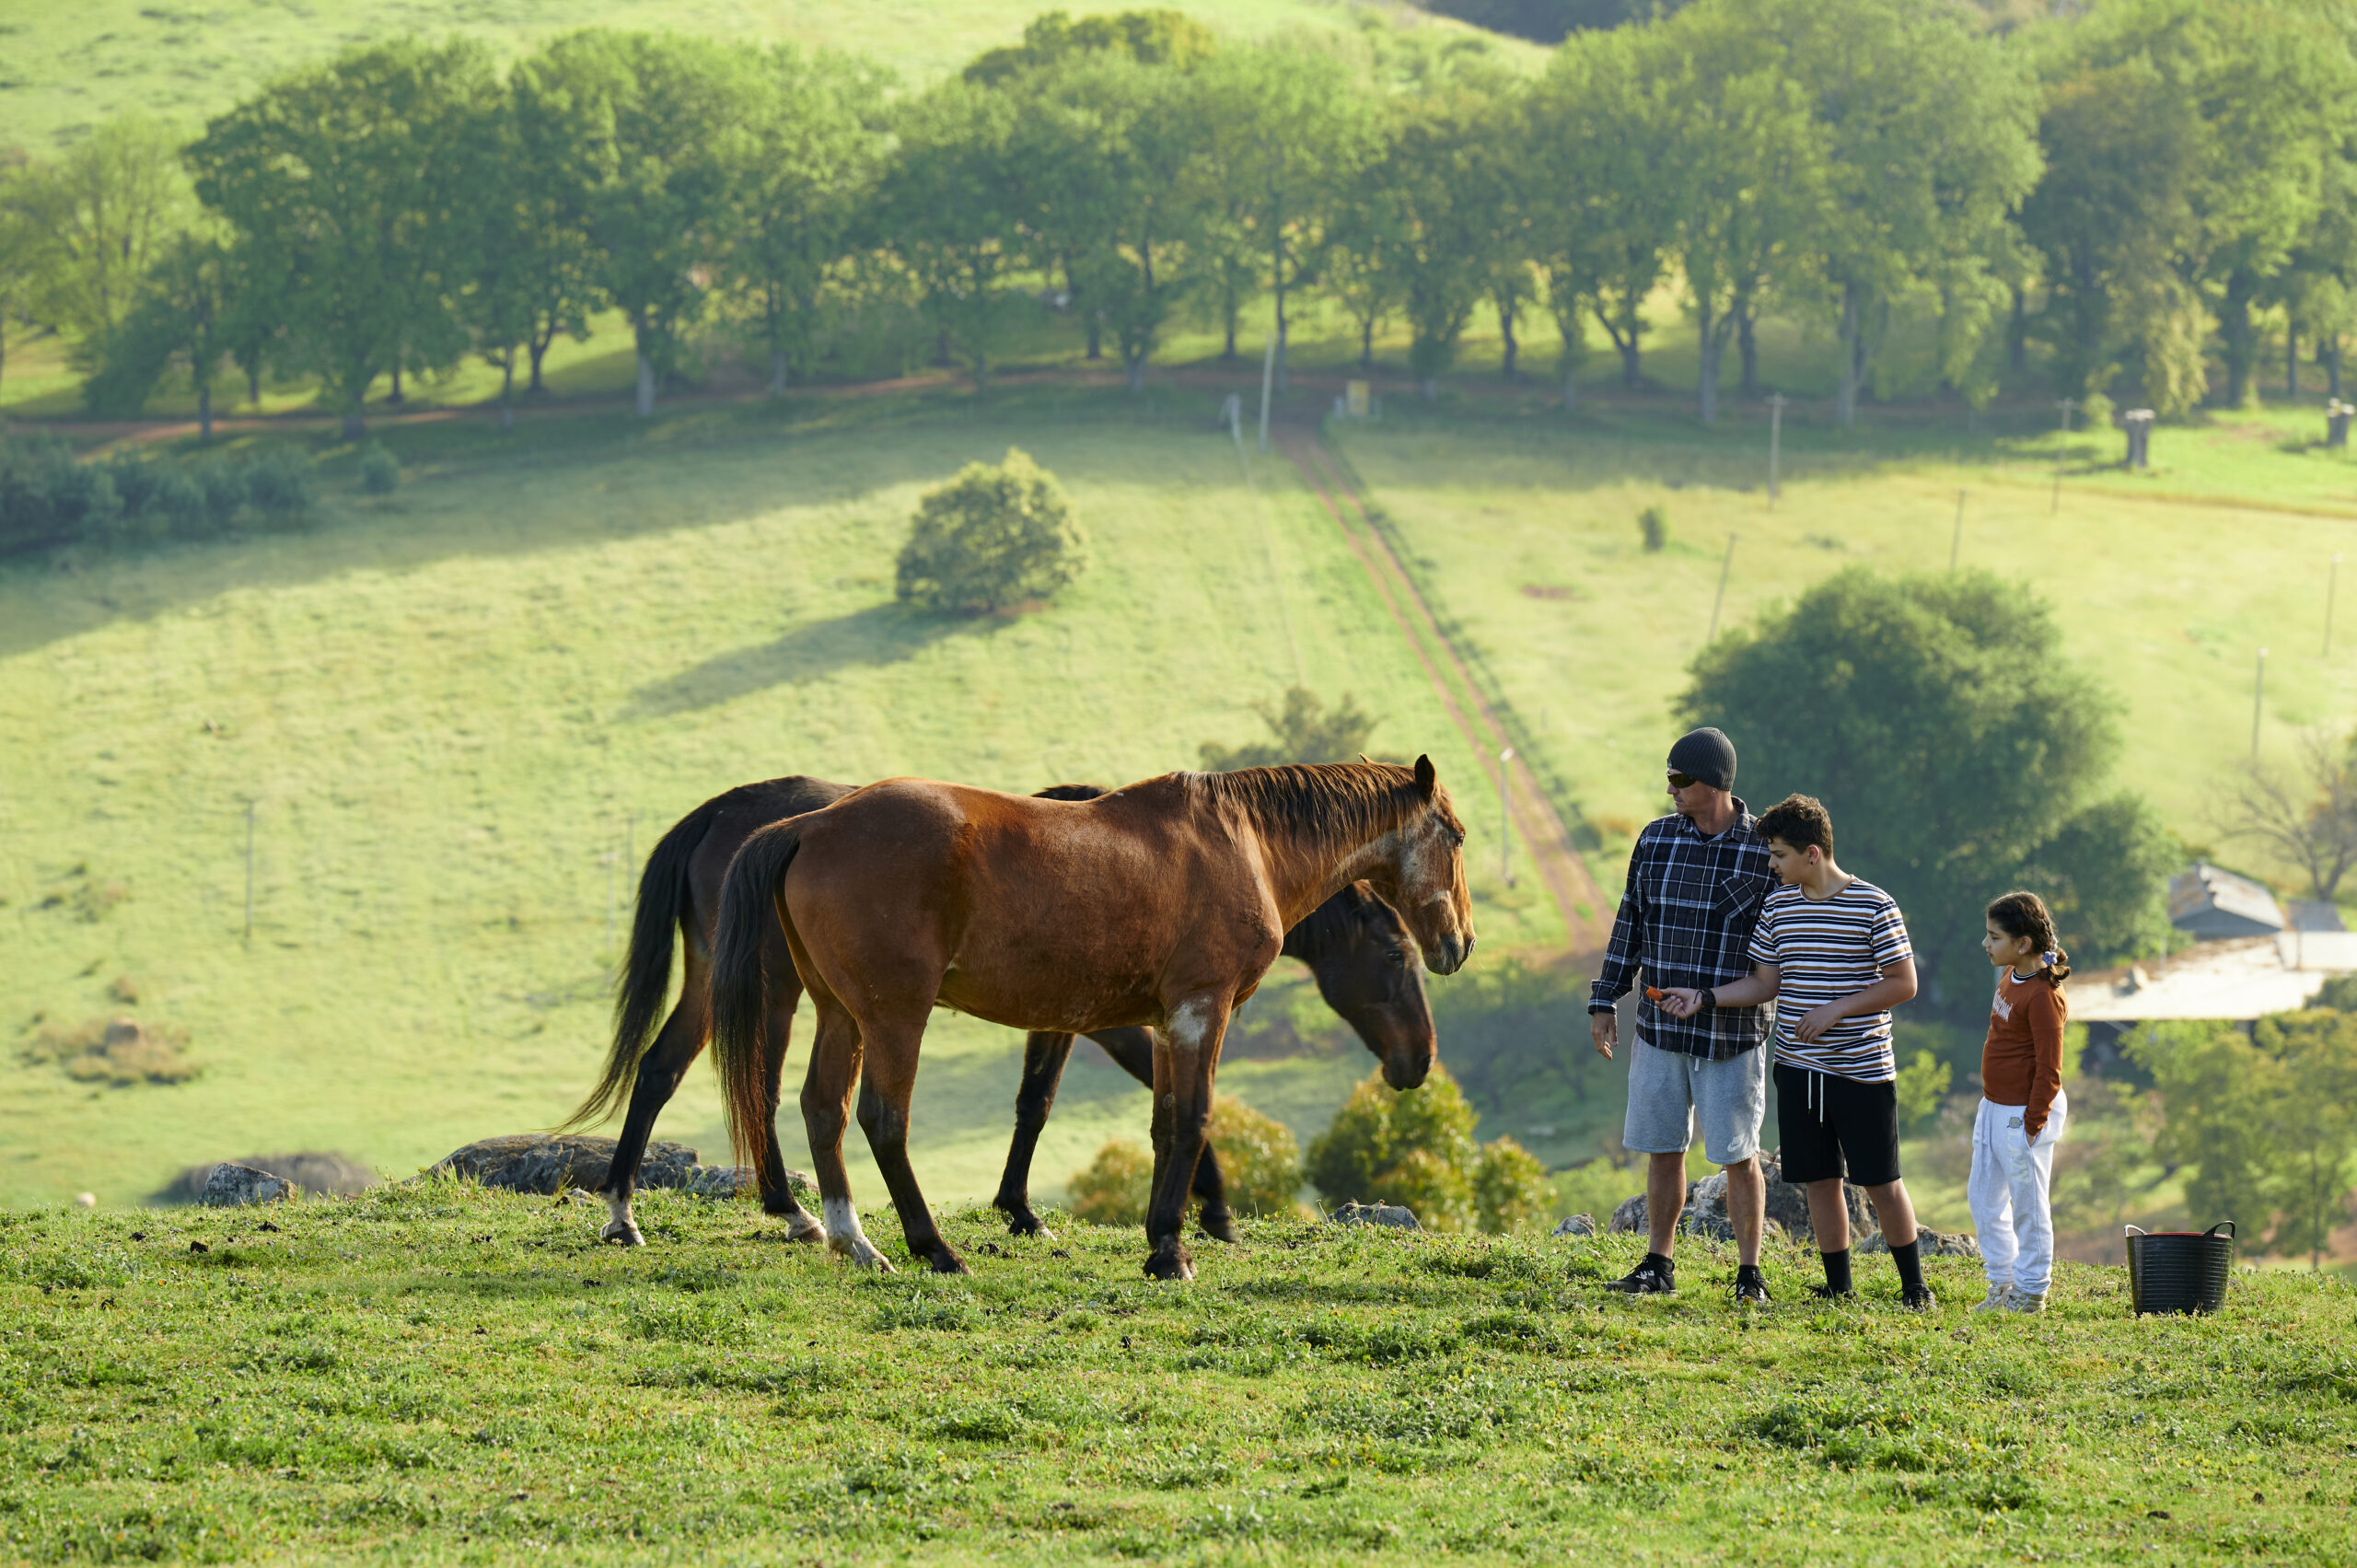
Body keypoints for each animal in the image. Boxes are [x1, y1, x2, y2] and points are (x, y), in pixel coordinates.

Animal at [565, 776, 1436, 1249]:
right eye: (1397, 955)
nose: (1418, 1059)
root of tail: (721, 815)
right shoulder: (1118, 1019)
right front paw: (1214, 1207)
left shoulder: (1061, 1015)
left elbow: (1034, 1101)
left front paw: (1018, 1208)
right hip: (769, 990)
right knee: (751, 1086)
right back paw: (789, 1212)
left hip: (728, 986)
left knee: (663, 1069)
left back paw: (632, 1212)